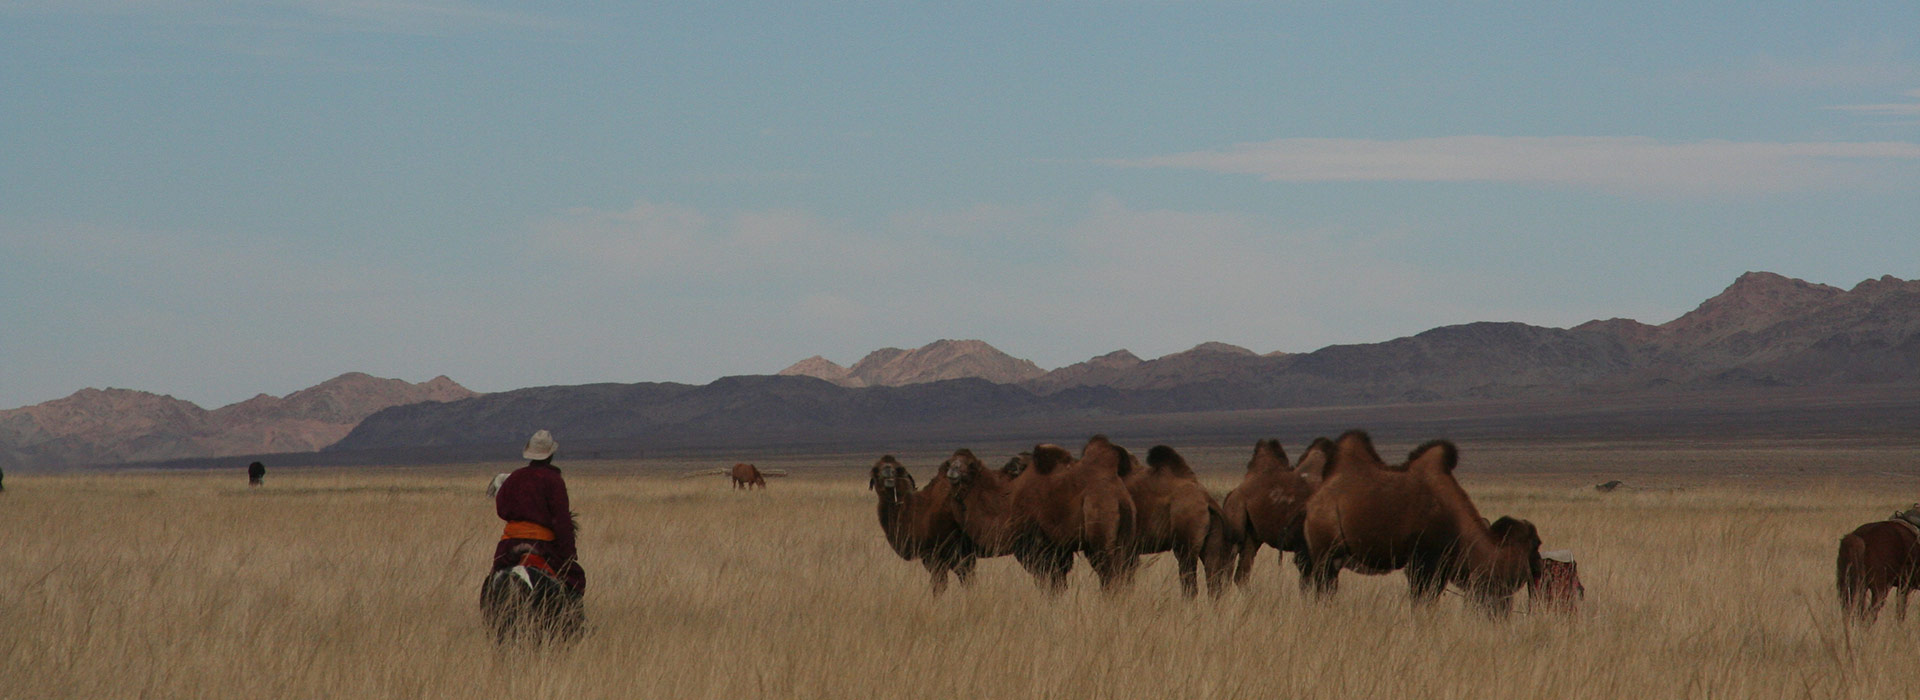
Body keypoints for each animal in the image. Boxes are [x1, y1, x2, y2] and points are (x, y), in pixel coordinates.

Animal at [944, 437, 1136, 590]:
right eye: (950, 462)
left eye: (970, 465)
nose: (953, 471)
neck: (1007, 503)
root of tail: (1115, 492)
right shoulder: (1059, 549)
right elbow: (1058, 583)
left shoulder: (1036, 546)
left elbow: (1048, 583)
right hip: (1125, 531)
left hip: (1099, 527)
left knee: (1109, 571)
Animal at [1221, 437, 1328, 590]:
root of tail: (1232, 494)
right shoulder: (1304, 547)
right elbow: (1308, 581)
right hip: (1236, 517)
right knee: (1228, 570)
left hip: (1252, 535)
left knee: (1242, 573)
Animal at [1290, 427, 1543, 613]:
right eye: (1534, 547)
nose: (1539, 567)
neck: (1460, 529)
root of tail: (1313, 503)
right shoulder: (1424, 560)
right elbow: (1422, 599)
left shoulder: (1440, 566)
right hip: (1325, 552)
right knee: (1320, 586)